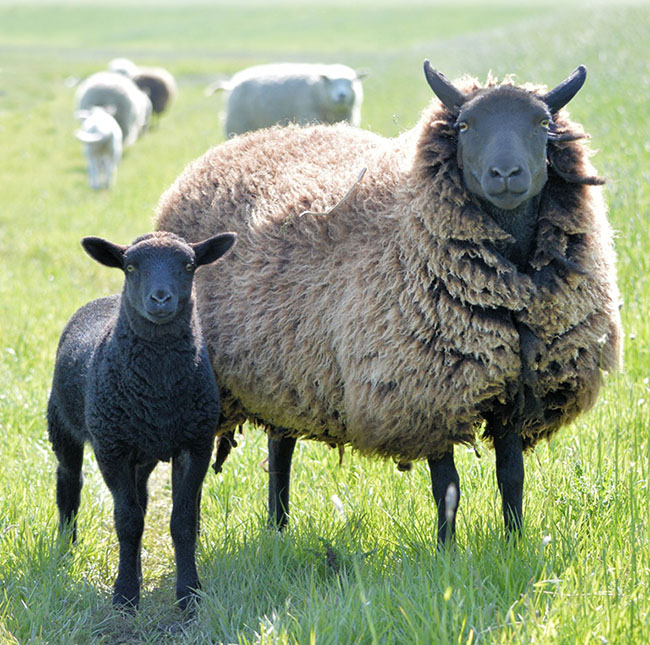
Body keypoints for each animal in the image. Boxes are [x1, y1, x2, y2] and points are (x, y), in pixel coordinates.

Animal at [47, 230, 236, 610]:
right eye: (131, 266)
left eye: (189, 265)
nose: (160, 298)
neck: (158, 388)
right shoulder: (111, 448)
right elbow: (127, 521)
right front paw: (124, 596)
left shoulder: (195, 444)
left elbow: (182, 520)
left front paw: (189, 593)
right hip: (63, 425)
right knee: (69, 482)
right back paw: (66, 547)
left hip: (143, 452)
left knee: (142, 498)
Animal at [209, 62, 365, 137]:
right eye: (330, 82)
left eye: (351, 82)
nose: (341, 95)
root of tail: (231, 84)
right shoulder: (307, 115)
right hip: (236, 122)